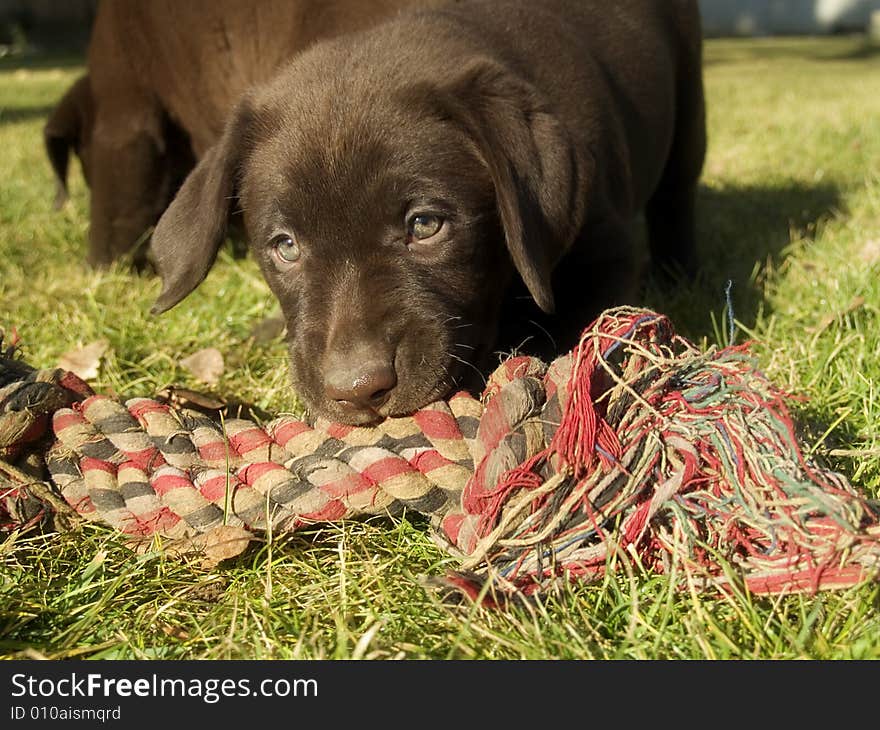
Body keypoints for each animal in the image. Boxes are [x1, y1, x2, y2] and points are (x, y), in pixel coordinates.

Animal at [148, 0, 704, 424]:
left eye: (425, 225)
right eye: (285, 246)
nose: (358, 389)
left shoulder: (605, 248)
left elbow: (583, 337)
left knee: (677, 196)